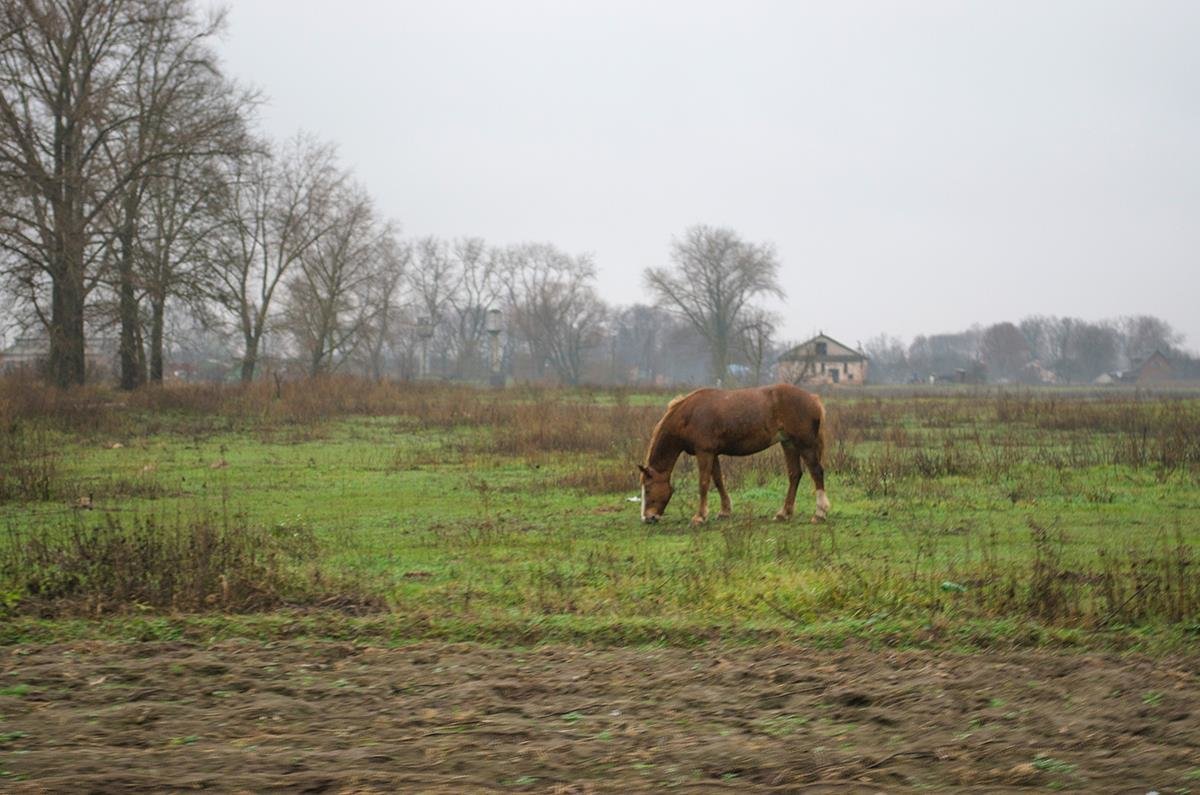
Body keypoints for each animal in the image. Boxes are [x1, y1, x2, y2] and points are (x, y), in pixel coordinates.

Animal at [643, 386, 830, 528]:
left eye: (647, 488)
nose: (647, 518)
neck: (690, 414)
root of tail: (813, 399)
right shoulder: (713, 453)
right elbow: (718, 480)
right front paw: (725, 511)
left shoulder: (704, 452)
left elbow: (703, 483)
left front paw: (699, 517)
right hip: (788, 444)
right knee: (795, 475)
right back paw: (784, 513)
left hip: (805, 445)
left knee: (816, 473)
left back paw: (819, 513)